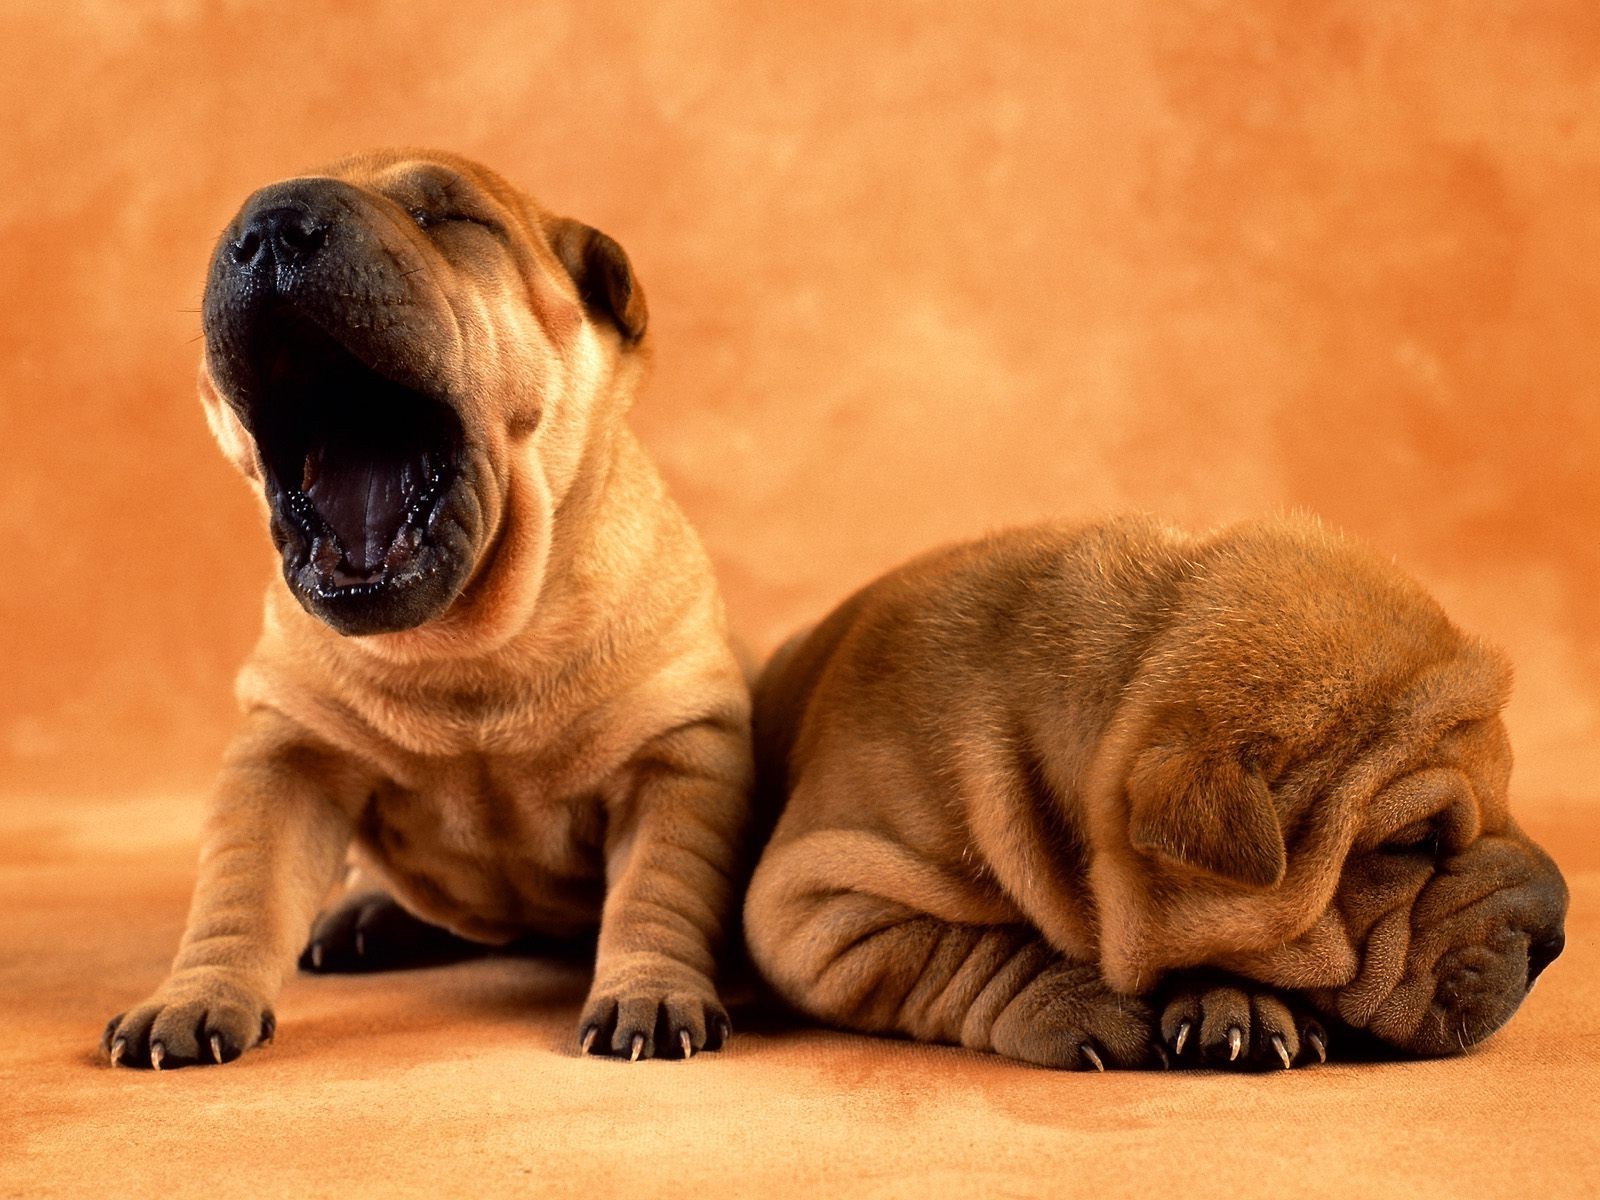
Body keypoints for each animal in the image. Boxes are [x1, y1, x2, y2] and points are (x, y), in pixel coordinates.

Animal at [103, 148, 752, 1068]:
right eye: (243, 221)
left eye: (450, 218)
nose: (270, 225)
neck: (468, 646)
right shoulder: (288, 751)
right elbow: (241, 887)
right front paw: (193, 997)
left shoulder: (678, 753)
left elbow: (658, 889)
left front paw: (651, 992)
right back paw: (366, 912)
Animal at [742, 518, 1568, 1068]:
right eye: (1413, 843)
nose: (1558, 935)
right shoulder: (822, 902)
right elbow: (963, 949)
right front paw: (1081, 998)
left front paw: (1232, 1000)